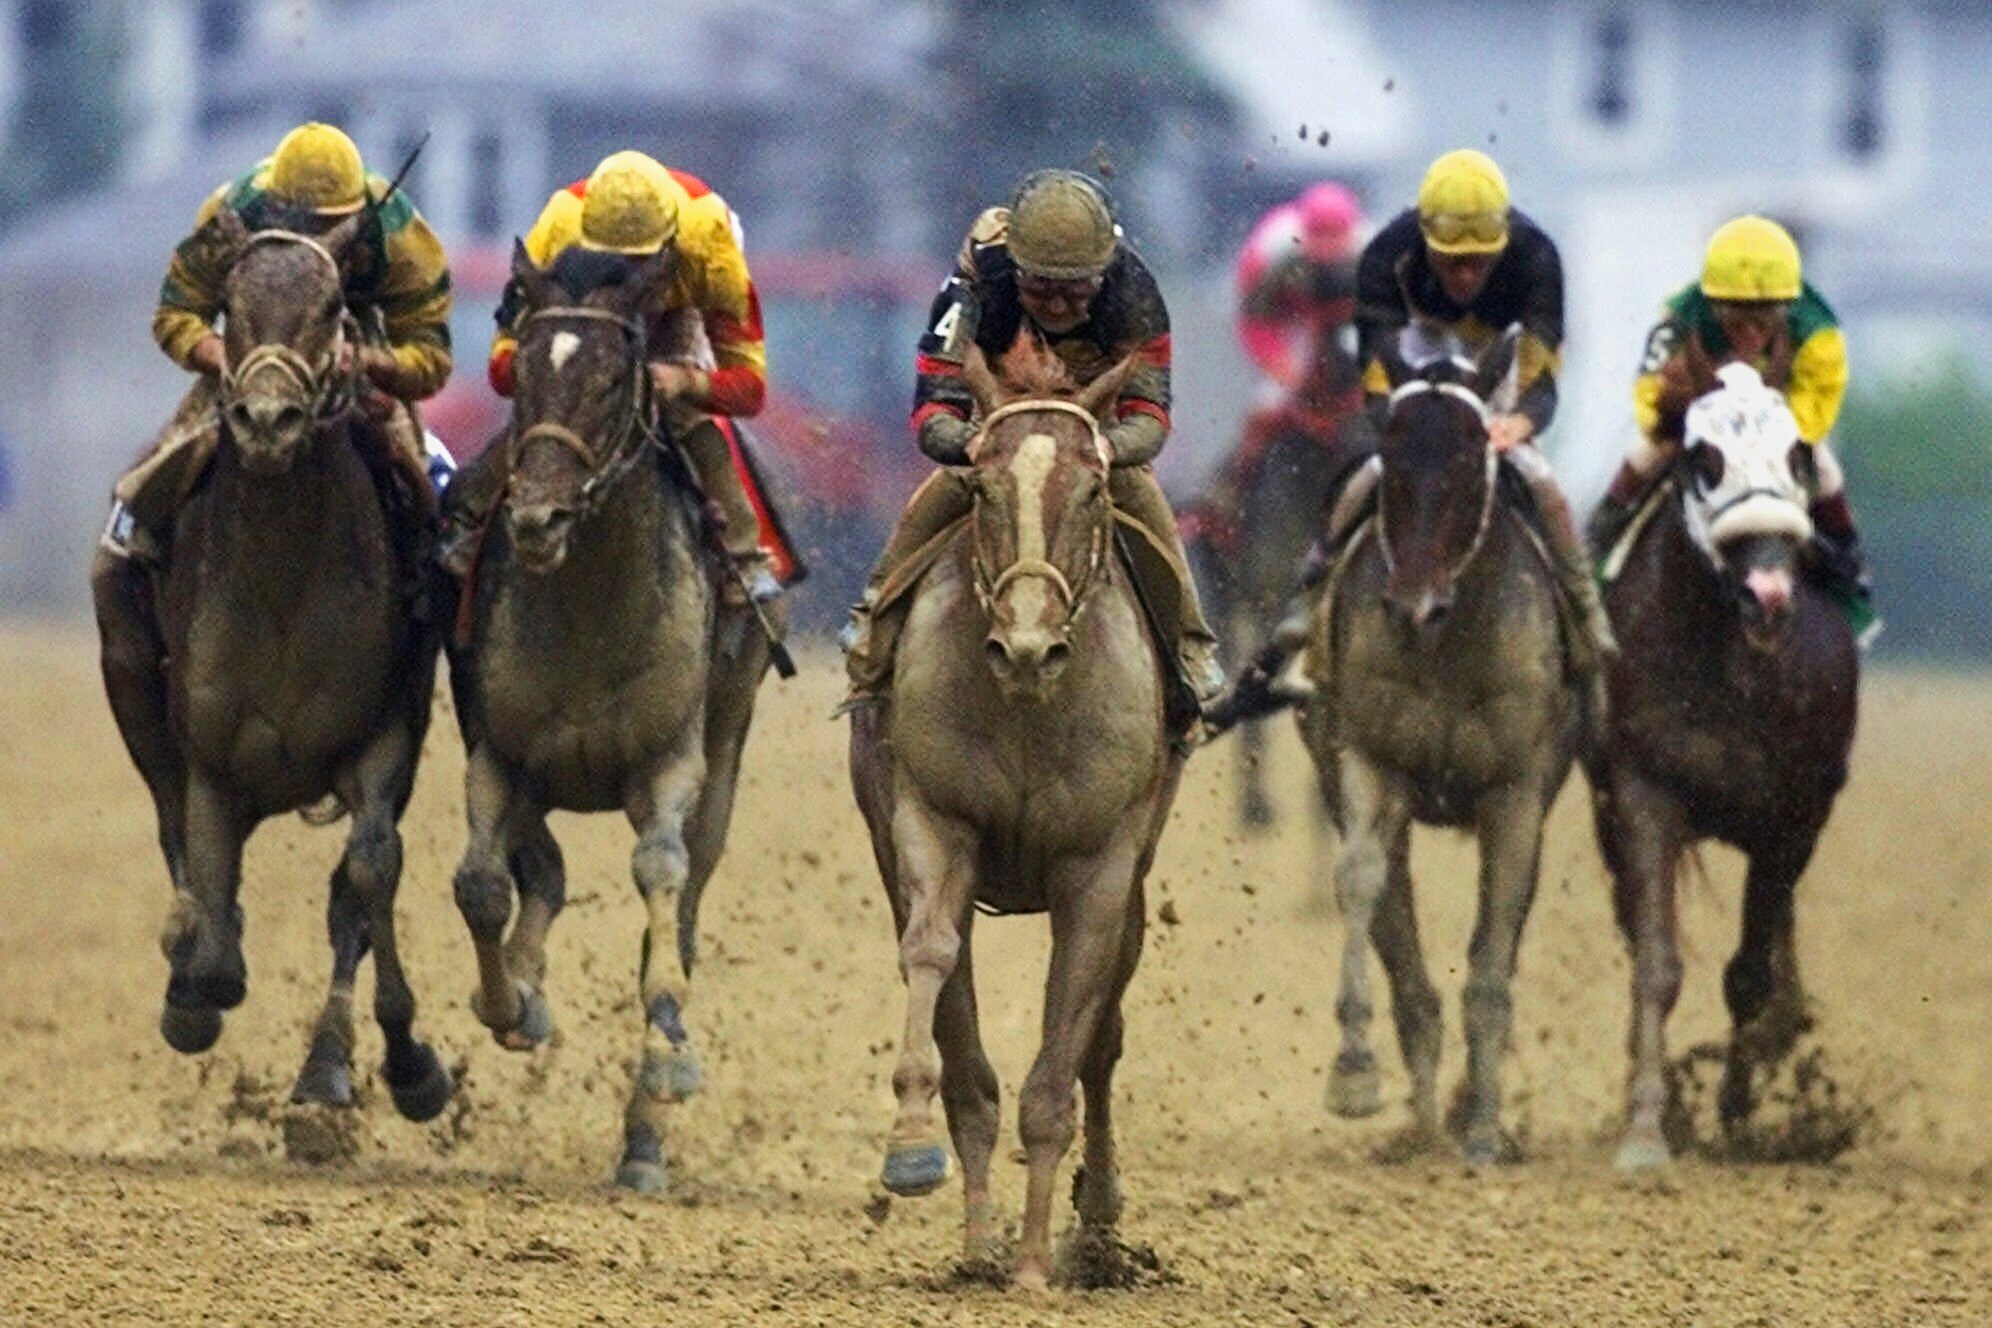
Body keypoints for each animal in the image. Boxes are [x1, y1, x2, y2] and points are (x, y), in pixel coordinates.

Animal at [90, 208, 452, 1122]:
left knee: (347, 891)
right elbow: (213, 932)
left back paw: (328, 1070)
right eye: (233, 304)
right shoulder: (212, 759)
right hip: (129, 672)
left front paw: (406, 1063)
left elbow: (368, 872)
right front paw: (192, 986)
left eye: (331, 307)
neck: (282, 575)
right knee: (175, 836)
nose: (265, 420)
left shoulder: (384, 735)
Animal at [444, 241, 781, 1192]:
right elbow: (482, 884)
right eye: (523, 372)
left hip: (727, 746)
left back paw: (643, 1143)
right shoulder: (497, 748)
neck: (591, 605)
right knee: (540, 873)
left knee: (684, 905)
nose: (536, 517)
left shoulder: (670, 761)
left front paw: (668, 1061)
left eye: (610, 378)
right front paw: (511, 1002)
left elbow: (661, 878)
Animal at [848, 348, 1183, 1289]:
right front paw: (916, 1157)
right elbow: (932, 958)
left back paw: (1095, 1229)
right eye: (981, 487)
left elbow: (1066, 1058)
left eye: (1095, 491)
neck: (1032, 707)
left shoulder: (1101, 869)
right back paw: (979, 1240)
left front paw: (1037, 1262)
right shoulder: (932, 820)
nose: (1027, 647)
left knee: (1103, 1038)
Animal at [1296, 330, 1581, 1164]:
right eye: (1390, 460)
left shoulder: (1517, 792)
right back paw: (1420, 1123)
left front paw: (1484, 1128)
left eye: (1466, 461)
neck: (1447, 640)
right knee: (1402, 946)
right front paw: (1355, 1073)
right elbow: (1360, 878)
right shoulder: (1368, 759)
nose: (1411, 602)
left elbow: (1492, 955)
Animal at [1588, 362, 1859, 1169]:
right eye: (1703, 458)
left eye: (1798, 455)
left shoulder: (1793, 819)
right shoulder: (1642, 791)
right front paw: (1650, 1123)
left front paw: (1738, 1116)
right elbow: (1656, 961)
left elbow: (1749, 975)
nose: (1766, 595)